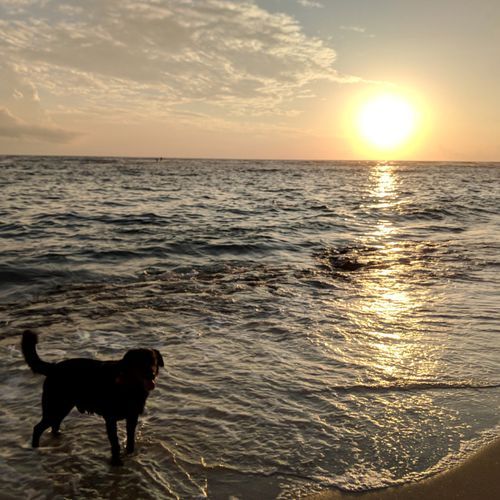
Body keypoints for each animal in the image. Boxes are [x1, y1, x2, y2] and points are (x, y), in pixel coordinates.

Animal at [22, 332, 164, 464]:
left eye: (154, 361)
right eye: (140, 362)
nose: (151, 374)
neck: (128, 384)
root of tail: (53, 367)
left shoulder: (132, 417)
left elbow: (130, 440)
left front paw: (129, 454)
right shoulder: (110, 419)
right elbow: (115, 443)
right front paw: (116, 462)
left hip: (62, 407)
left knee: (54, 425)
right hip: (55, 406)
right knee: (38, 428)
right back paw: (35, 448)